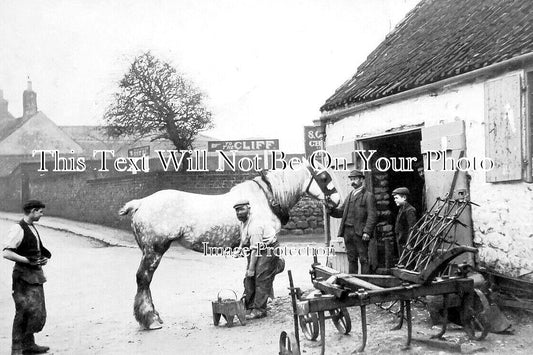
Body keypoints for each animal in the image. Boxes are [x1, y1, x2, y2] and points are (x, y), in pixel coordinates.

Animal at [118, 160, 338, 330]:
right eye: (324, 177)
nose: (337, 202)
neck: (266, 198)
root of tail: (140, 203)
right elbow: (263, 274)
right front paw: (257, 308)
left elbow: (251, 274)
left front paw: (248, 304)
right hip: (154, 250)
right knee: (143, 279)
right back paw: (150, 319)